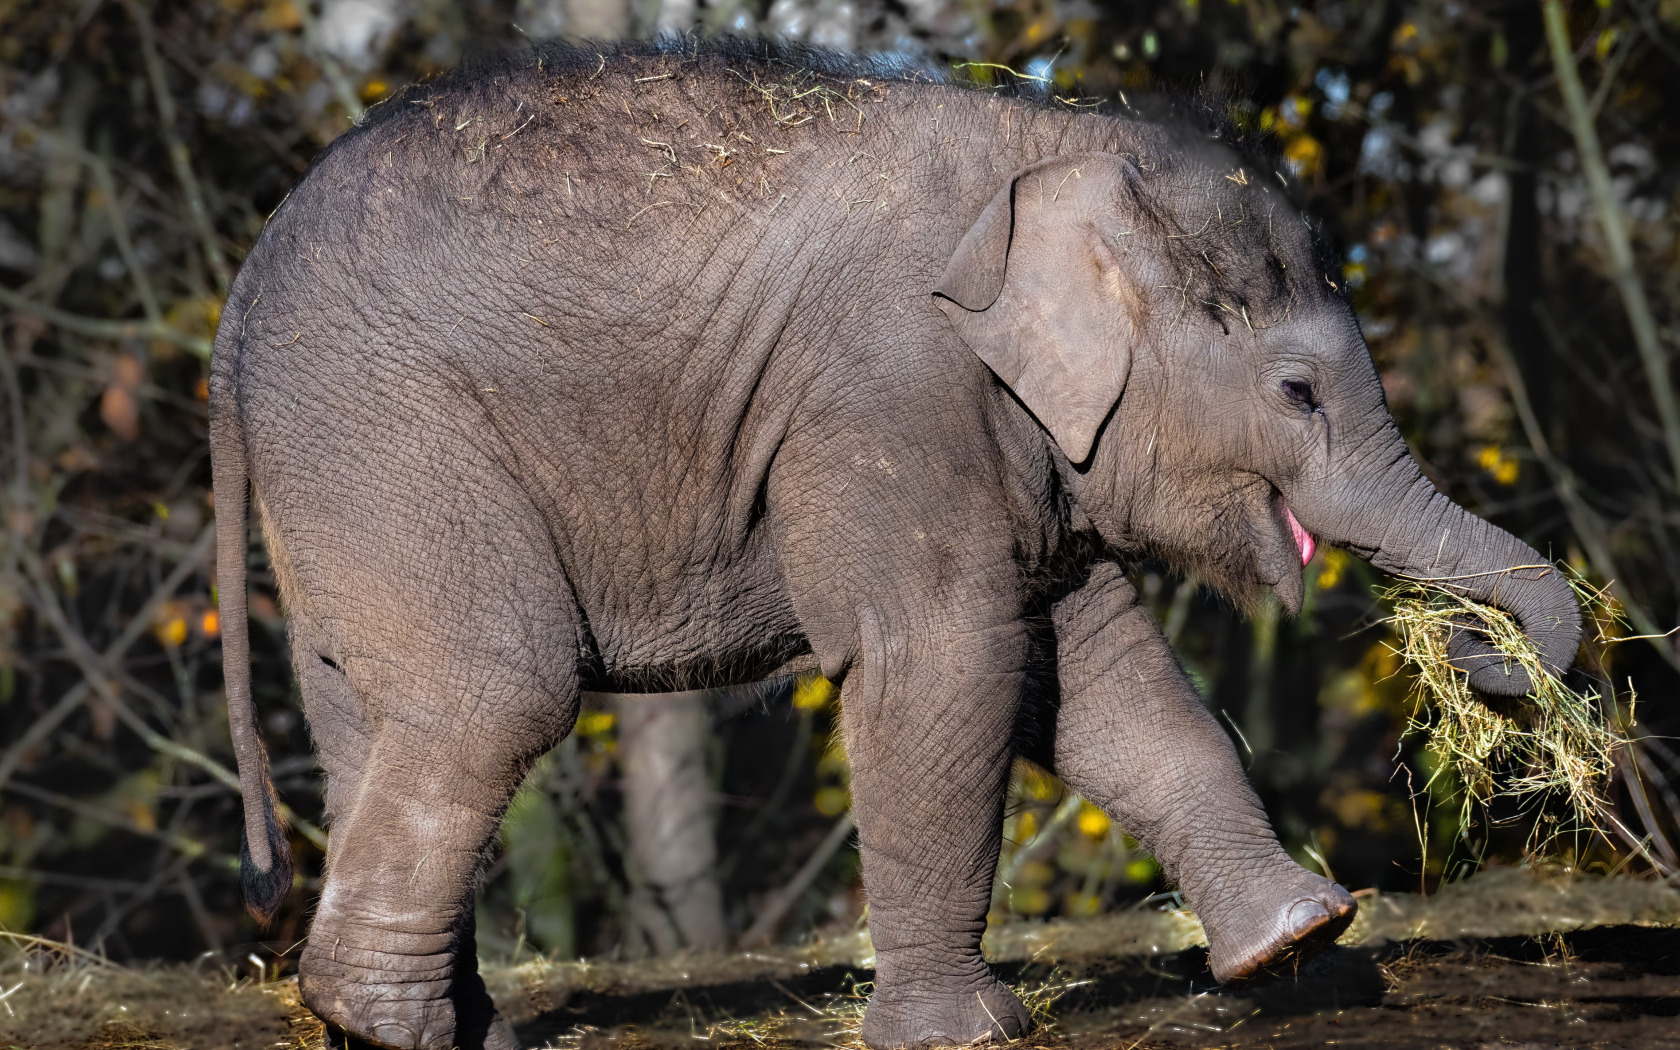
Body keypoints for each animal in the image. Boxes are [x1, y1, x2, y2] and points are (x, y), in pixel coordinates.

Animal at [216, 36, 1579, 1041]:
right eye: (1298, 393)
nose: (1483, 659)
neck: (1053, 147)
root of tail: (238, 302)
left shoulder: (1022, 445)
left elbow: (1101, 678)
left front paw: (1300, 940)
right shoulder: (889, 391)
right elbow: (945, 660)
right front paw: (966, 1034)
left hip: (346, 484)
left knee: (374, 718)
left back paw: (446, 1029)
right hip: (391, 435)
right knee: (498, 692)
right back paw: (384, 1026)